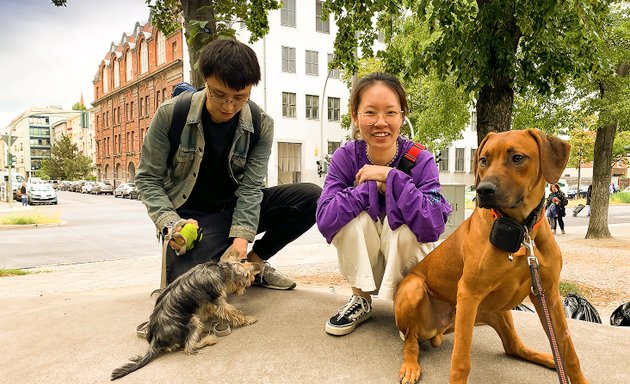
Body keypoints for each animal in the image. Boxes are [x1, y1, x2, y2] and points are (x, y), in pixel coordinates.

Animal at [398, 130, 592, 384]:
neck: (521, 231)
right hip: (415, 290)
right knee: (410, 340)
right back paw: (410, 365)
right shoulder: (469, 293)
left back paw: (549, 358)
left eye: (517, 157)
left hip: (499, 312)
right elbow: (461, 361)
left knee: (513, 347)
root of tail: (437, 329)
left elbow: (568, 348)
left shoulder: (548, 293)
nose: (483, 190)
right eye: (483, 160)